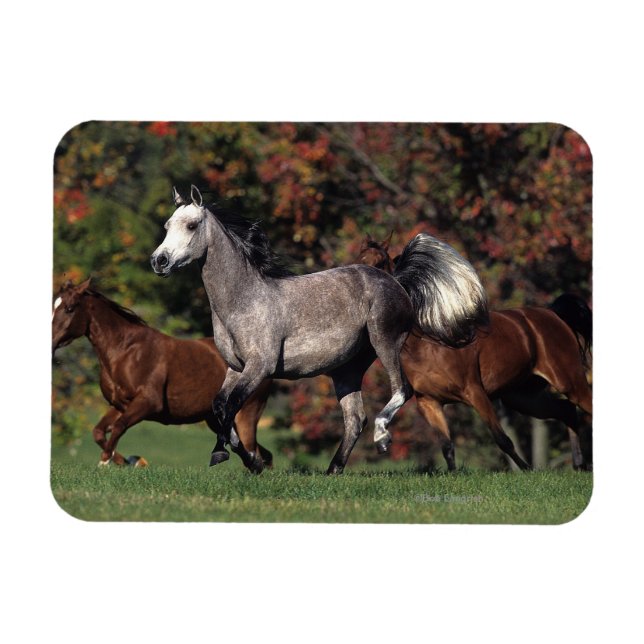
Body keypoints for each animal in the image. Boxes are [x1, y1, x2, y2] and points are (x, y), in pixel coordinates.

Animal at [52, 278, 273, 471]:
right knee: (260, 455)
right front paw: (128, 461)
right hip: (217, 420)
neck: (126, 352)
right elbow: (99, 431)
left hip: (245, 416)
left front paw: (110, 462)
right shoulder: (121, 404)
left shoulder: (148, 402)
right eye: (54, 306)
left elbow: (119, 427)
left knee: (254, 454)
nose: (51, 343)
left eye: (69, 308)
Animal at [150, 185, 488, 474]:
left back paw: (381, 439)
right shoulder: (235, 367)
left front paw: (225, 455)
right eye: (167, 226)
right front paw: (250, 461)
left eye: (192, 225)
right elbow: (220, 406)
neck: (244, 300)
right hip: (347, 369)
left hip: (385, 342)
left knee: (401, 390)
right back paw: (332, 470)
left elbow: (231, 406)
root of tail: (397, 281)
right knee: (354, 419)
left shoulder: (260, 367)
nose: (159, 261)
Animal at [355, 234, 593, 471]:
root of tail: (555, 315)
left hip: (569, 383)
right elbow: (447, 447)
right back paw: (579, 464)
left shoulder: (475, 392)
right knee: (567, 411)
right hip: (523, 397)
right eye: (357, 260)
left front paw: (527, 470)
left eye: (380, 263)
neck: (428, 342)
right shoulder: (430, 403)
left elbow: (502, 440)